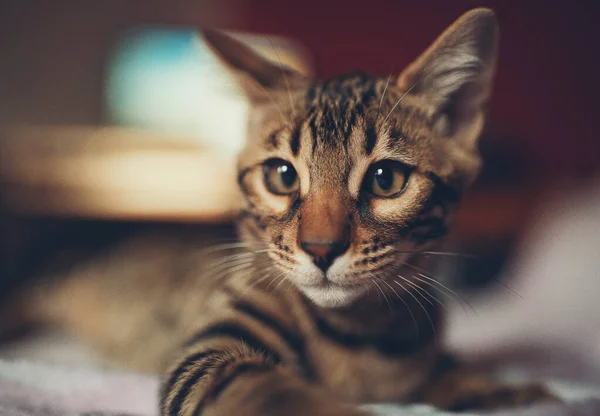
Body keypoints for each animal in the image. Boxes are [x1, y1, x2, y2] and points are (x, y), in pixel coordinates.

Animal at [1, 7, 556, 416]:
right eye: (282, 176)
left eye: (386, 179)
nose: (321, 249)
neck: (362, 335)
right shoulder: (209, 350)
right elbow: (266, 390)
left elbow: (443, 370)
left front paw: (496, 386)